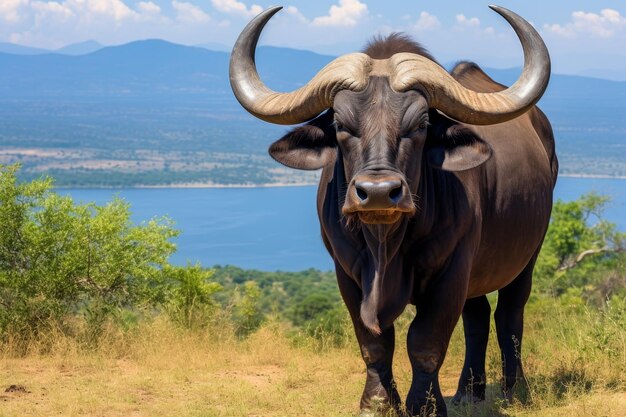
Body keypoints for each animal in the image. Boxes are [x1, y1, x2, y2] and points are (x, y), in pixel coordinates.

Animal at [227, 4, 552, 414]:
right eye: (340, 124)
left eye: (421, 124)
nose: (379, 193)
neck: (386, 246)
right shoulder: (348, 273)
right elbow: (374, 341)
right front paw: (378, 402)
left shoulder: (452, 269)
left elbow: (426, 341)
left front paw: (425, 405)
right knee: (477, 316)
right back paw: (467, 391)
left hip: (528, 256)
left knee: (509, 314)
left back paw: (515, 390)